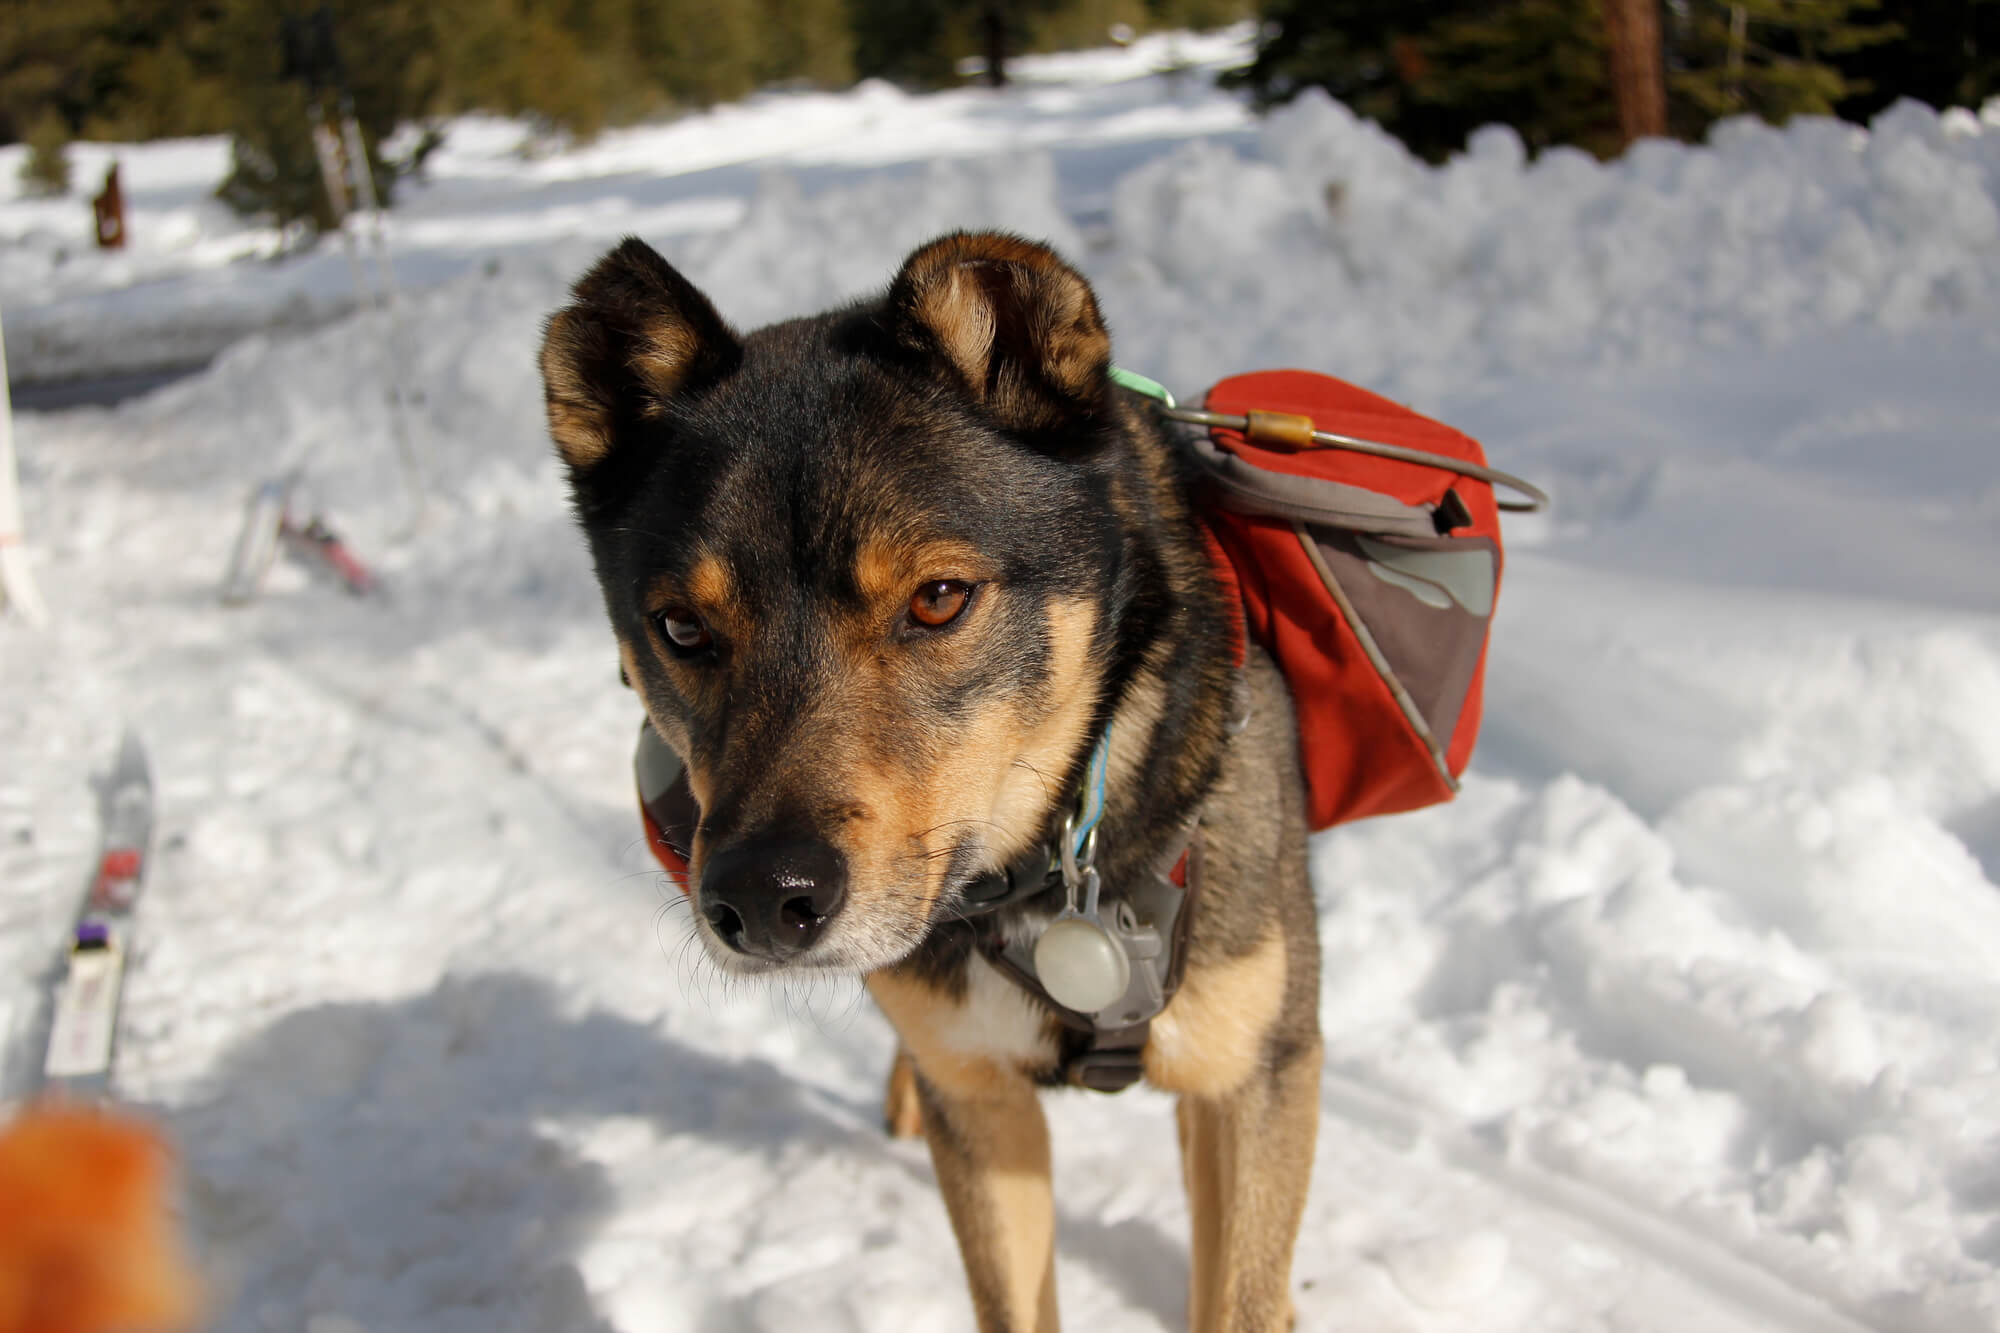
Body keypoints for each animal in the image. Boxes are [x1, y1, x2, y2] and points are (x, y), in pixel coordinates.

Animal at [540, 233, 1320, 1320]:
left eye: (940, 598)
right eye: (681, 628)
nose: (762, 897)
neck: (1049, 874)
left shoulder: (1262, 1075)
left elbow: (1237, 1284)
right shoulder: (984, 1114)